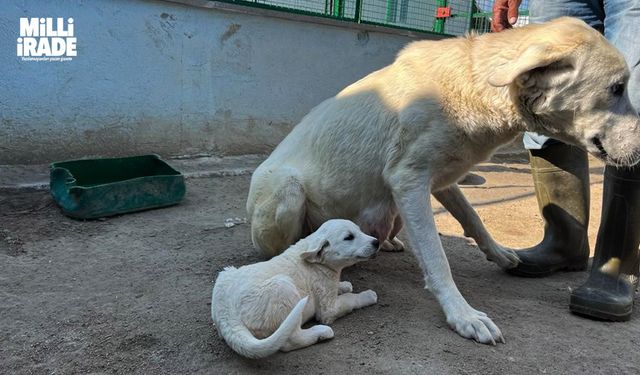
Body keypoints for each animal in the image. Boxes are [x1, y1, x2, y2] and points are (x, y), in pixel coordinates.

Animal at [210, 219, 380, 360]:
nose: (377, 242)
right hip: (282, 286)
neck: (319, 262)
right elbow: (350, 299)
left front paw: (344, 285)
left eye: (359, 230)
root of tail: (227, 315)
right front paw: (368, 295)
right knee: (291, 341)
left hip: (226, 273)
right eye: (349, 237)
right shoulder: (328, 309)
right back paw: (321, 332)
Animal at [246, 18, 640, 346]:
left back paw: (388, 243)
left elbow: (472, 216)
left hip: (393, 212)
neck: (475, 86)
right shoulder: (409, 181)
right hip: (288, 193)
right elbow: (438, 259)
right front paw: (463, 315)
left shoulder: (440, 180)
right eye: (617, 88)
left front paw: (499, 253)